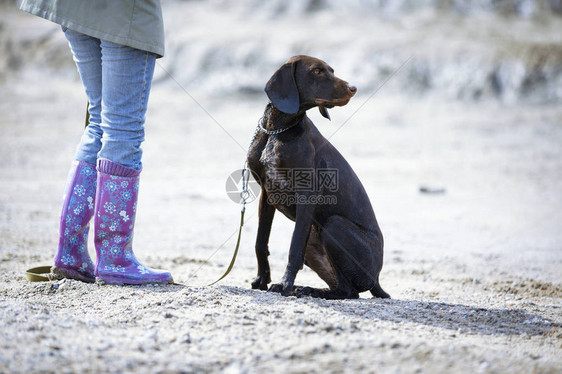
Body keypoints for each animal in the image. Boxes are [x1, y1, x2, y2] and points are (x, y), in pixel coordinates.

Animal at [247, 55, 388, 300]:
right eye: (317, 71)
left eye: (332, 70)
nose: (353, 88)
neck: (278, 130)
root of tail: (377, 278)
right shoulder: (266, 193)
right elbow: (260, 242)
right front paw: (263, 279)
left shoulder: (306, 196)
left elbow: (294, 247)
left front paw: (284, 285)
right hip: (314, 236)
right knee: (344, 287)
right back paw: (307, 288)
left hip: (333, 225)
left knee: (349, 291)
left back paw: (308, 289)